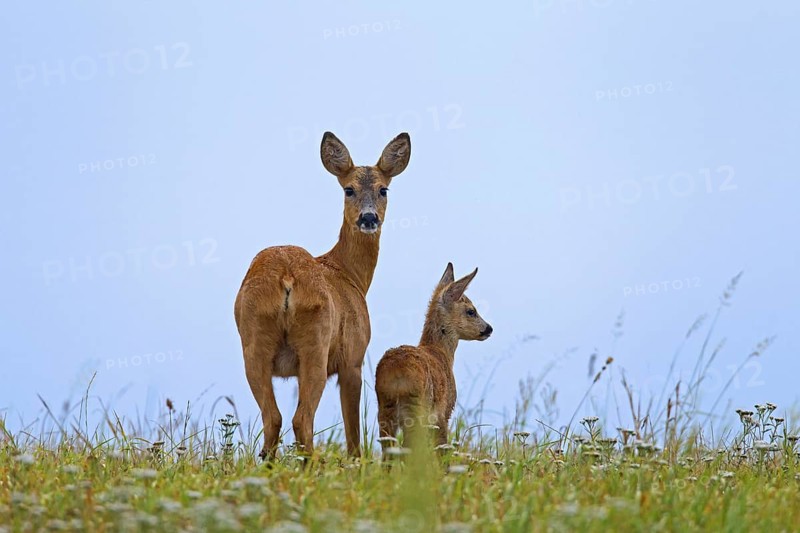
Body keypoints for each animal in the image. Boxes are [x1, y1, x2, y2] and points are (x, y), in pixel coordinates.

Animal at [234, 131, 411, 459]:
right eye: (349, 189)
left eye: (383, 189)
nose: (369, 218)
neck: (348, 274)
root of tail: (286, 276)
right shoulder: (353, 357)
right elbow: (353, 432)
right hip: (315, 343)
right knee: (301, 419)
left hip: (253, 342)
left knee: (273, 418)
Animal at [375, 263, 492, 452]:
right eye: (471, 311)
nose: (489, 328)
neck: (440, 352)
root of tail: (397, 373)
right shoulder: (445, 410)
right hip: (417, 407)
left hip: (385, 407)